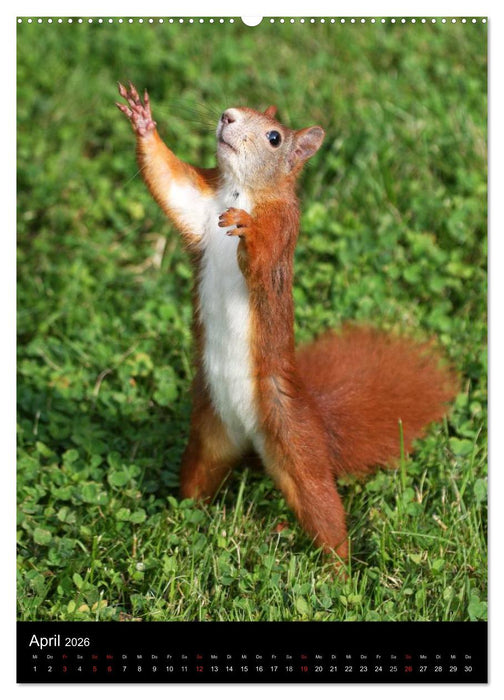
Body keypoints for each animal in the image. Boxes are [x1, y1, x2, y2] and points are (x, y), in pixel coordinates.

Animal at [117, 82, 457, 561]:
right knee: (198, 480)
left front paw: (246, 228)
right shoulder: (199, 205)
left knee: (322, 509)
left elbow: (262, 262)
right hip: (207, 435)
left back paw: (339, 569)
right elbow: (169, 184)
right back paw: (179, 519)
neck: (241, 191)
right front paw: (143, 122)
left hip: (297, 447)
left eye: (274, 137)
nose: (226, 116)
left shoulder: (282, 232)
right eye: (239, 107)